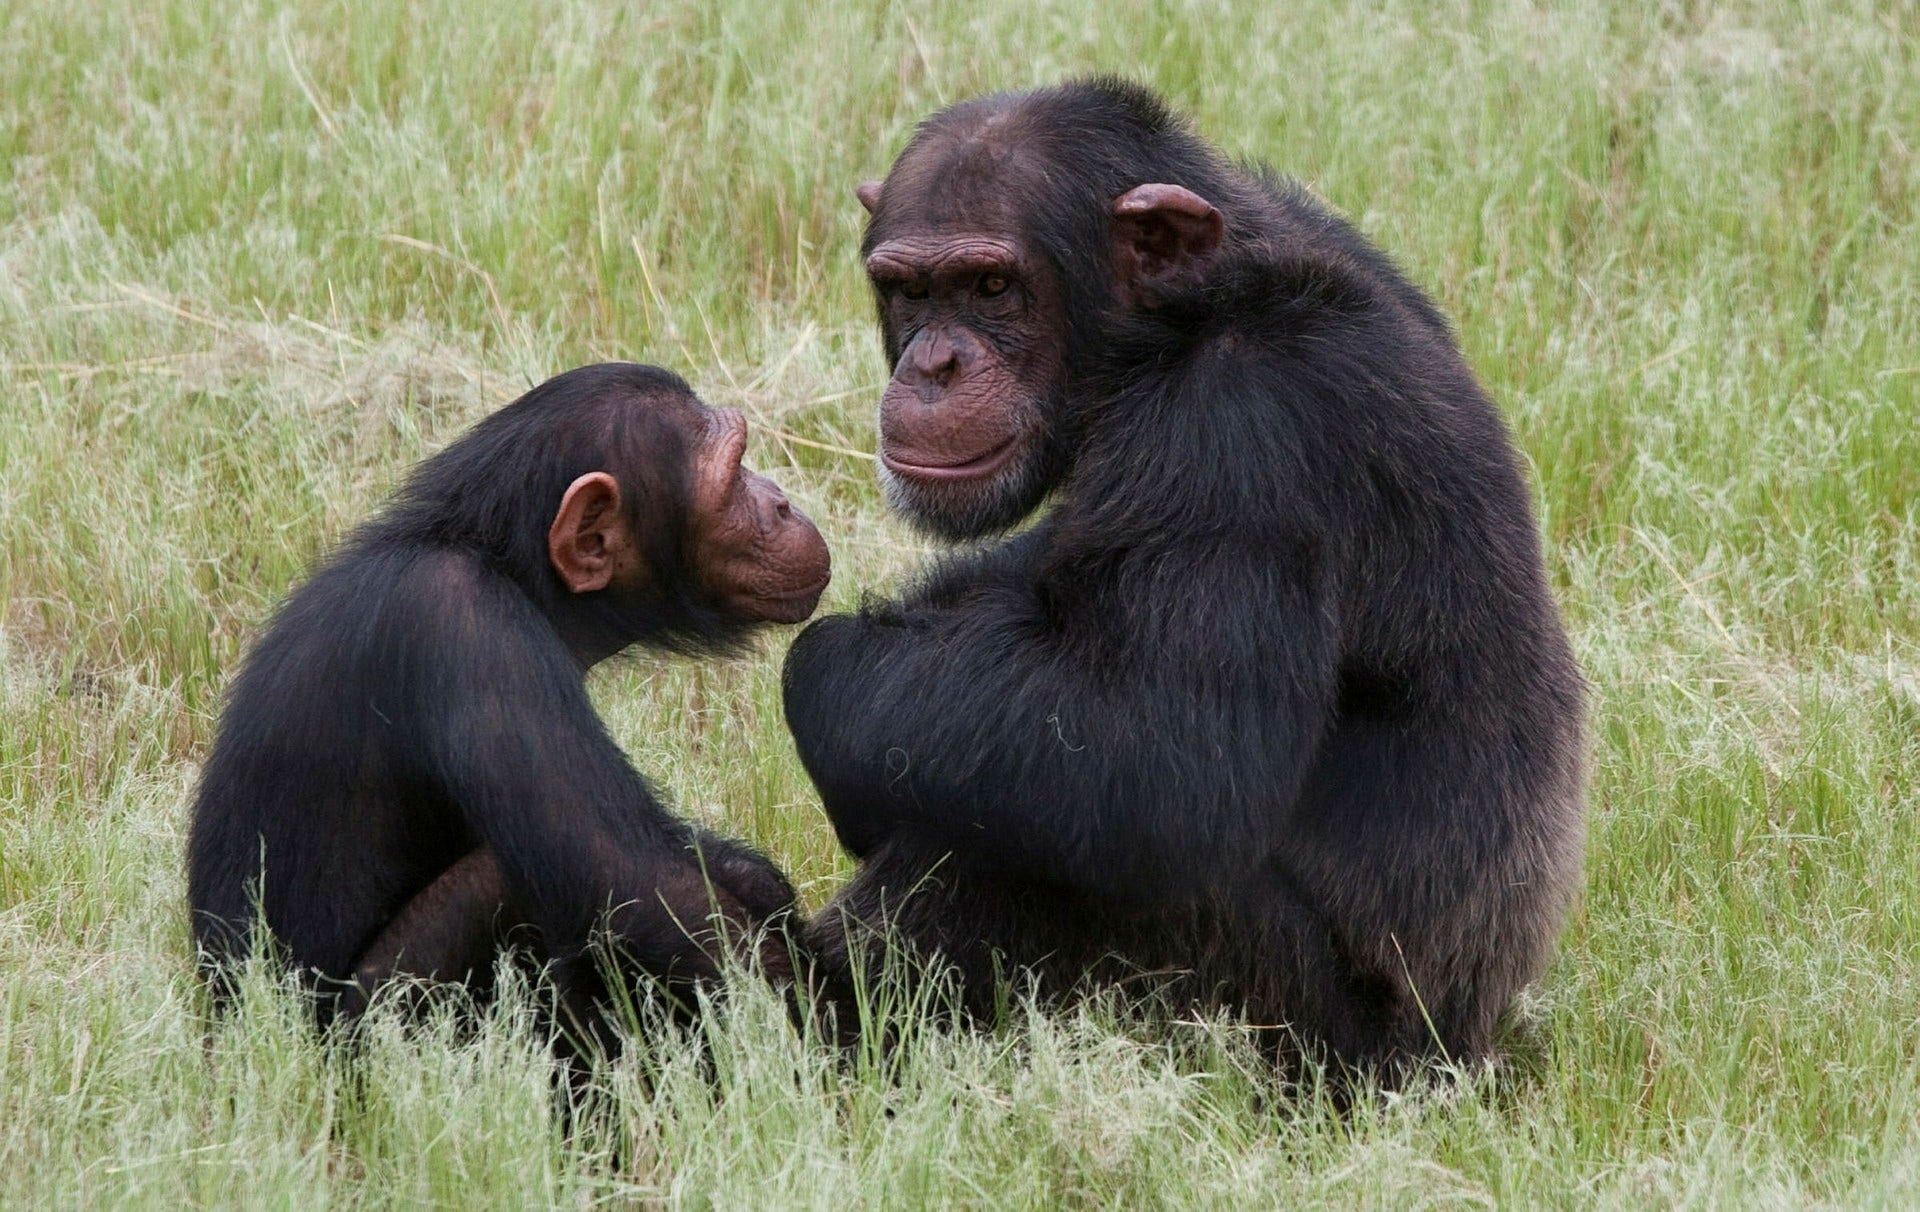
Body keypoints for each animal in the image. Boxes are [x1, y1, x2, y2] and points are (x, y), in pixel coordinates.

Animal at [185, 363, 833, 1037]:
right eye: (733, 478)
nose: (780, 501)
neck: (507, 566)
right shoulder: (469, 629)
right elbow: (635, 881)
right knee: (501, 880)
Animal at [779, 78, 1589, 1083]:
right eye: (909, 290)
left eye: (993, 286)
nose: (935, 363)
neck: (1183, 320)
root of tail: (1472, 1049)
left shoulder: (1241, 437)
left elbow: (1165, 755)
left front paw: (824, 670)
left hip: (1298, 1031)